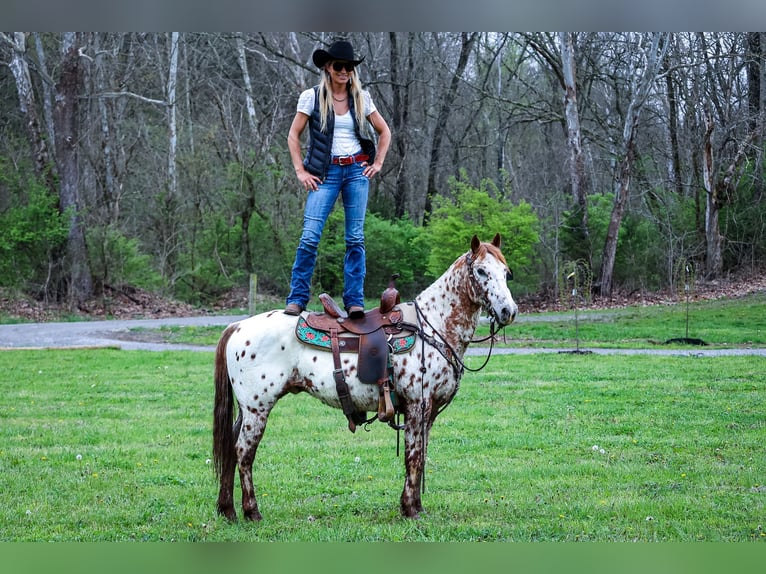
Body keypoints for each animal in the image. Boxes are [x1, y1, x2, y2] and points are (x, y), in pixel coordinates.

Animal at [213, 234, 520, 520]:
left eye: (506, 272)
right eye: (481, 271)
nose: (508, 311)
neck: (433, 326)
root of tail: (237, 326)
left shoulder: (429, 411)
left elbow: (421, 455)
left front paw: (415, 506)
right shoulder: (417, 406)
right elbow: (414, 456)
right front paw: (410, 509)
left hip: (246, 411)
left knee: (230, 447)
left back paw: (227, 509)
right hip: (257, 408)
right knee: (244, 453)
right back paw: (251, 511)